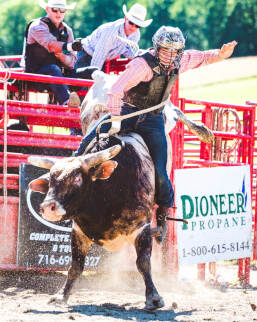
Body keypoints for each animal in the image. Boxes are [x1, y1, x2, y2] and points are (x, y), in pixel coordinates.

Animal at [27, 70, 212, 310]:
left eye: (77, 178)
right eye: (51, 179)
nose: (48, 207)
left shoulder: (140, 228)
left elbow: (143, 263)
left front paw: (153, 297)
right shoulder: (79, 231)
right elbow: (75, 265)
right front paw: (61, 296)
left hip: (165, 116)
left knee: (175, 111)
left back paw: (203, 131)